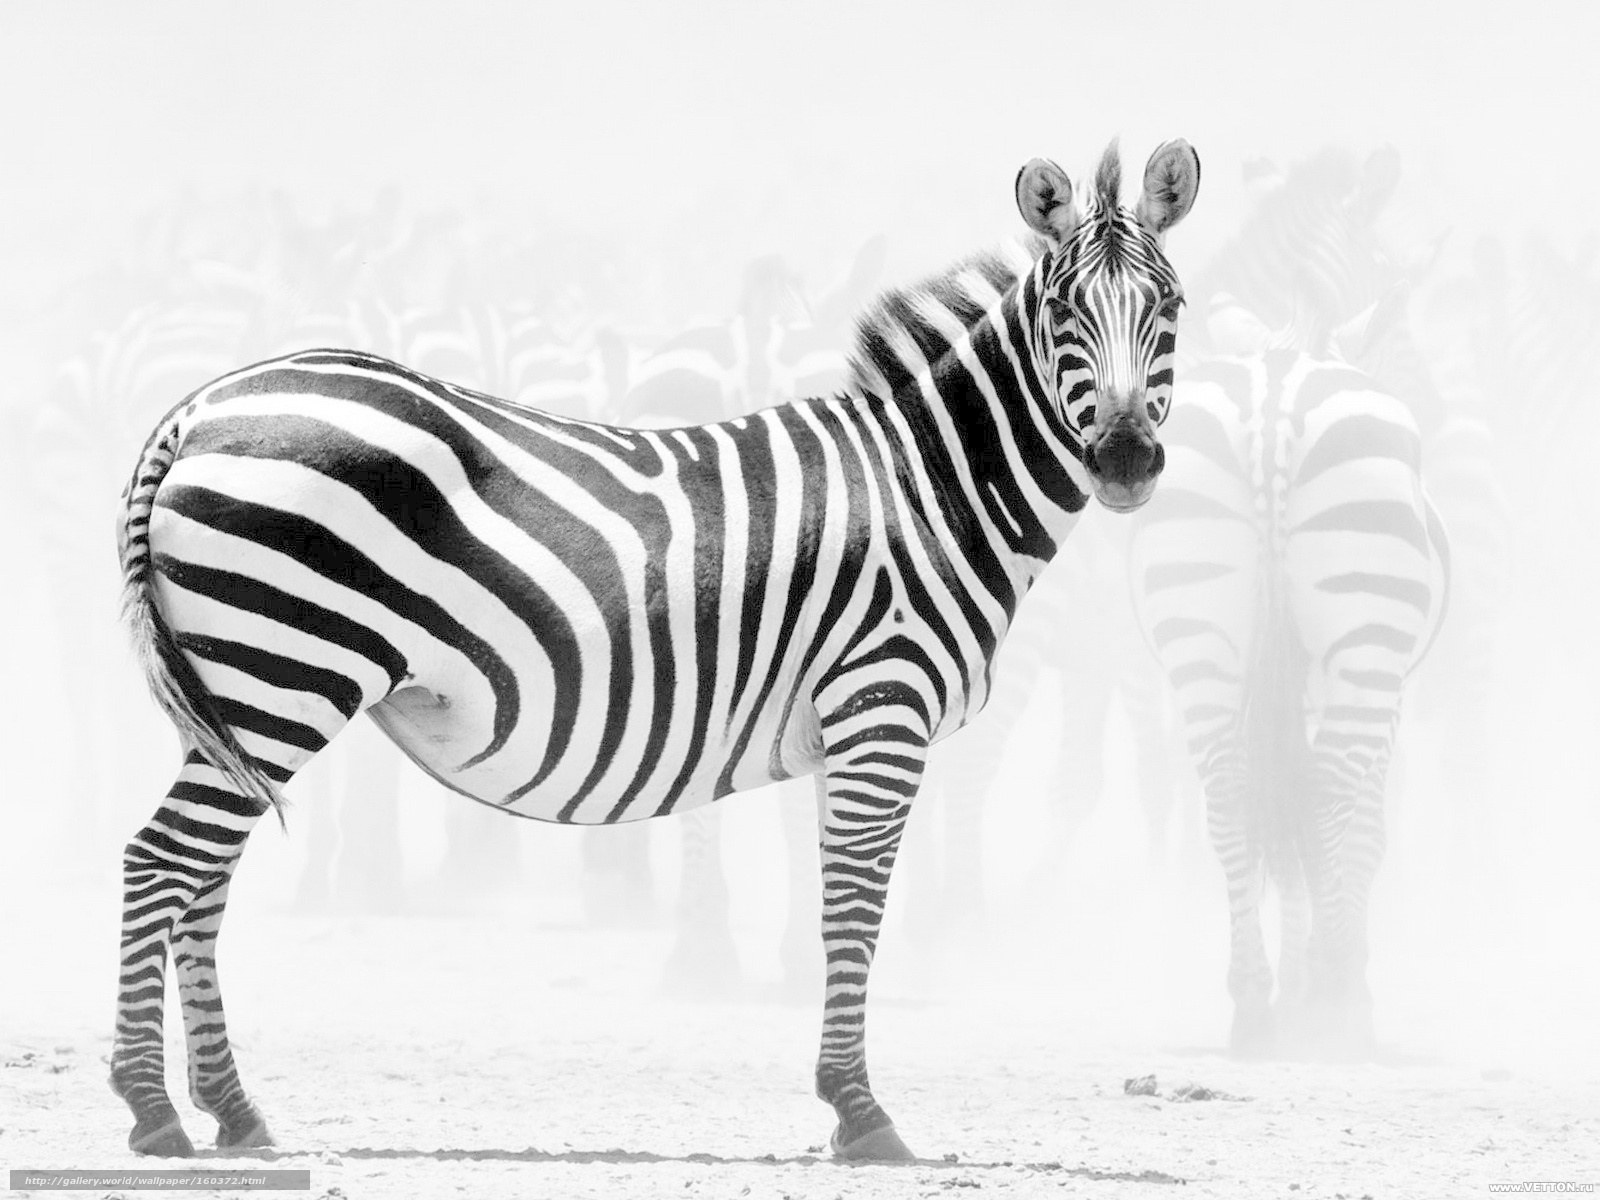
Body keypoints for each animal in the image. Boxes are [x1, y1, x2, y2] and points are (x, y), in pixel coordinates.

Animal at [109, 139, 1200, 1160]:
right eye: (1062, 314)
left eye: (1171, 308)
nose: (1125, 462)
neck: (927, 487)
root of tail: (200, 409)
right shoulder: (881, 709)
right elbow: (856, 908)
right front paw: (859, 1111)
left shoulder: (845, 729)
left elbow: (835, 899)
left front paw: (843, 1097)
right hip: (283, 672)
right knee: (160, 859)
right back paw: (153, 1111)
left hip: (240, 692)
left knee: (202, 876)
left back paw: (233, 1110)